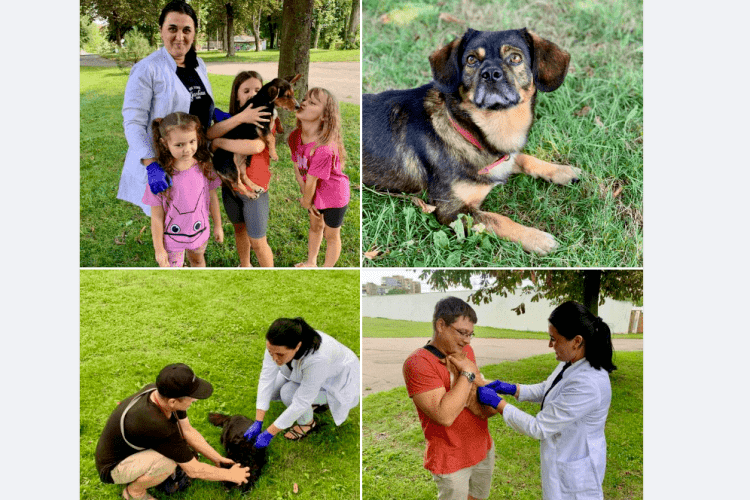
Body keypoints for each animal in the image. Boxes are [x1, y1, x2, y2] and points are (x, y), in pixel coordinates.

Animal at [364, 27, 580, 254]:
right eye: (471, 60)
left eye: (515, 58)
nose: (491, 74)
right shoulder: (451, 210)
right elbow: (498, 219)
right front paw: (537, 238)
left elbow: (524, 158)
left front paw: (561, 171)